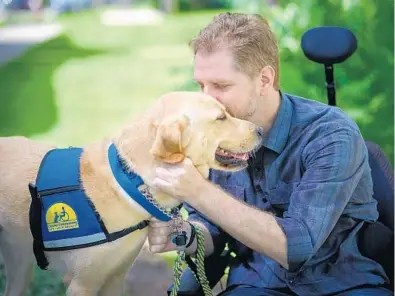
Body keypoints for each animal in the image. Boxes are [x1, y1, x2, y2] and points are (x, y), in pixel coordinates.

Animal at [0, 91, 262, 294]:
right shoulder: (82, 284)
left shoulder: (116, 277)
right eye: (221, 117)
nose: (260, 129)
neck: (130, 182)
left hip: (20, 265)